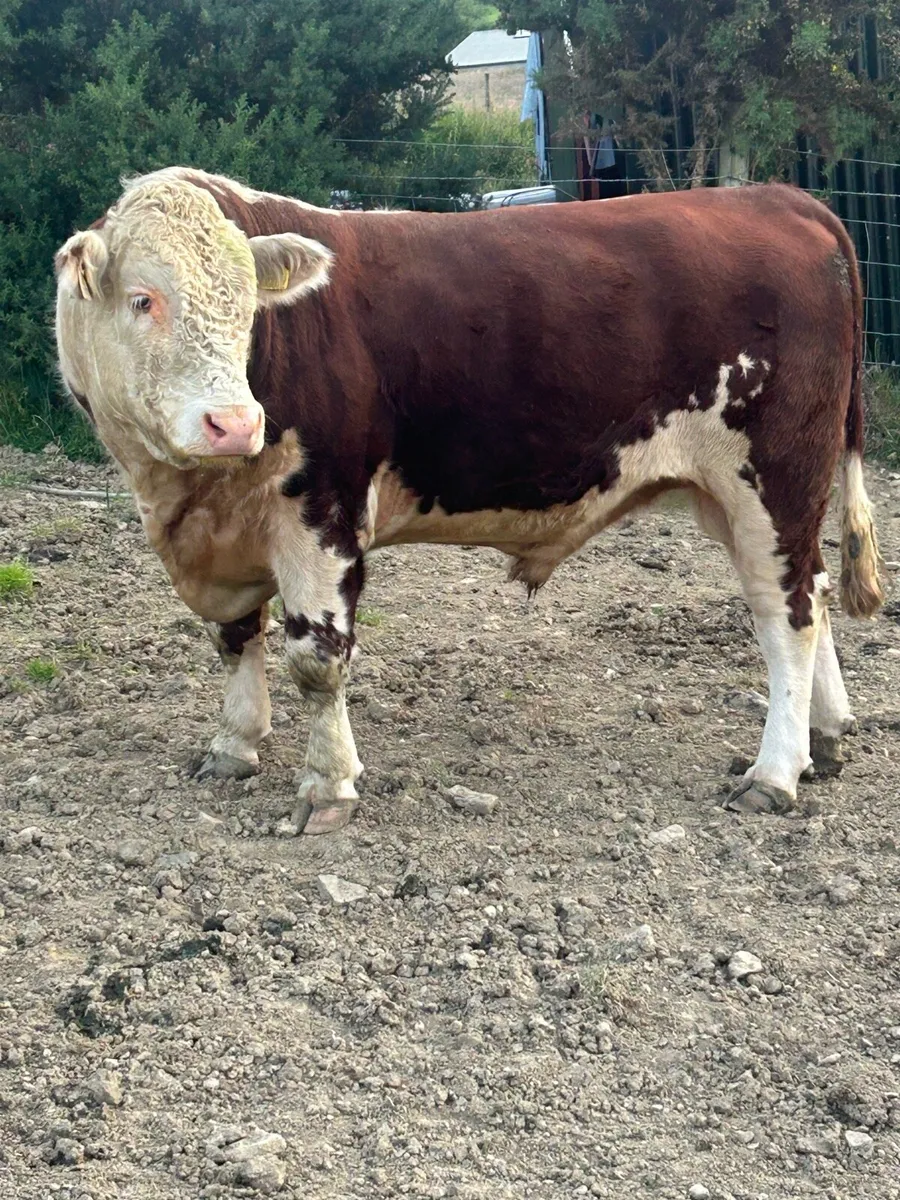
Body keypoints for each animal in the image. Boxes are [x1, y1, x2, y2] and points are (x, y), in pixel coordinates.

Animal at [54, 168, 884, 835]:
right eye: (143, 300)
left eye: (247, 306)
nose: (234, 423)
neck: (184, 495)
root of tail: (777, 197)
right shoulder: (222, 535)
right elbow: (234, 638)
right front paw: (234, 744)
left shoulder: (322, 513)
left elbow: (317, 660)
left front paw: (327, 786)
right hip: (748, 494)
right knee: (808, 588)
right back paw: (824, 738)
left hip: (774, 473)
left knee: (787, 613)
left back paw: (775, 773)